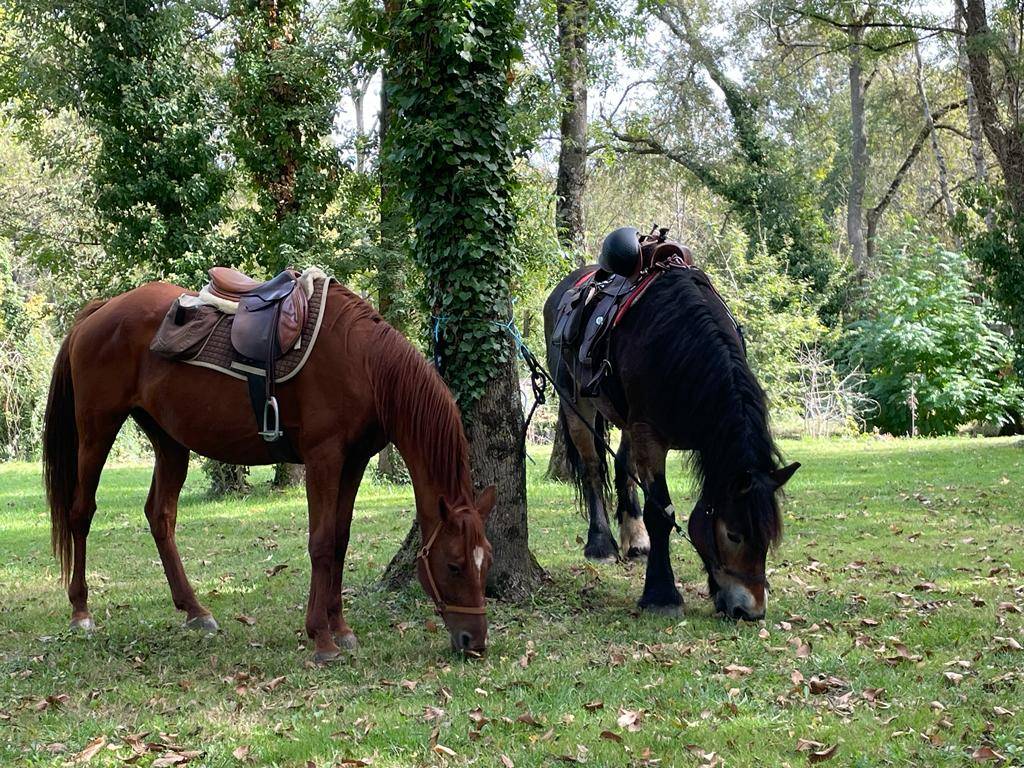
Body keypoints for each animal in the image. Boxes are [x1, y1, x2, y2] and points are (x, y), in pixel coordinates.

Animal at [42, 279, 495, 662]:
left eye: (485, 561)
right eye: (454, 565)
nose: (474, 642)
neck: (363, 363)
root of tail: (99, 312)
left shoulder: (353, 462)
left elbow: (341, 541)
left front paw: (341, 627)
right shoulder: (324, 458)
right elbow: (321, 543)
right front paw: (322, 638)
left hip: (169, 441)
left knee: (160, 516)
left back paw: (195, 610)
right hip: (97, 430)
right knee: (81, 513)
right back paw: (81, 611)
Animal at [543, 263, 799, 620]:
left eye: (770, 537)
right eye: (733, 535)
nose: (752, 611)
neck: (677, 346)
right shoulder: (650, 436)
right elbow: (661, 514)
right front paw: (661, 594)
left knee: (622, 467)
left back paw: (635, 540)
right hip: (574, 401)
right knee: (593, 469)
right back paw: (601, 544)